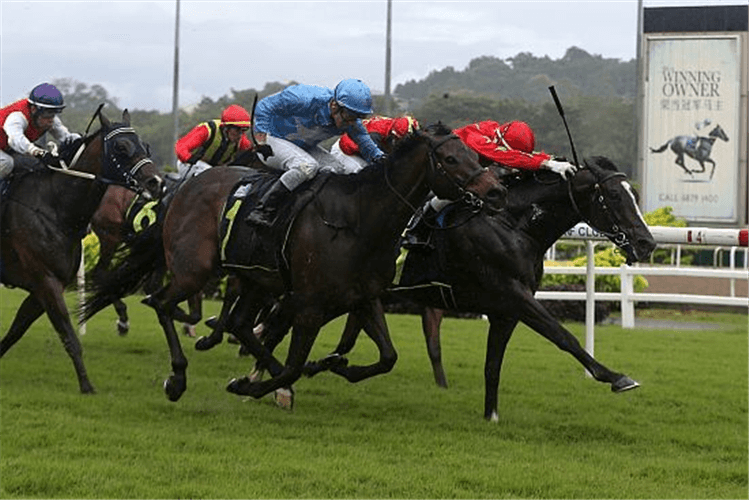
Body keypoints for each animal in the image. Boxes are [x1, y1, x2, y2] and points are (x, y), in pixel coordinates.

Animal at [0, 109, 164, 394]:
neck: (54, 208)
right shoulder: (46, 282)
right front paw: (87, 385)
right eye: (121, 147)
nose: (156, 182)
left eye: (144, 145)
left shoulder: (41, 288)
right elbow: (69, 336)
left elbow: (15, 332)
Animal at [80, 124, 502, 402]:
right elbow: (295, 362)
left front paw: (332, 367)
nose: (496, 191)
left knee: (238, 321)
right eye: (451, 158)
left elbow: (387, 357)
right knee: (162, 302)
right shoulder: (310, 304)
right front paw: (256, 383)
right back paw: (178, 377)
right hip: (192, 268)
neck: (356, 220)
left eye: (475, 156)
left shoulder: (362, 298)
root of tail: (182, 188)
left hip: (254, 277)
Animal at [300, 155, 656, 418]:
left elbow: (492, 365)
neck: (512, 224)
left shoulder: (505, 311)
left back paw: (321, 364)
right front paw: (616, 377)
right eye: (614, 196)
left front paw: (491, 416)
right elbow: (563, 335)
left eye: (635, 195)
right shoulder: (514, 295)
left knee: (347, 338)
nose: (646, 243)